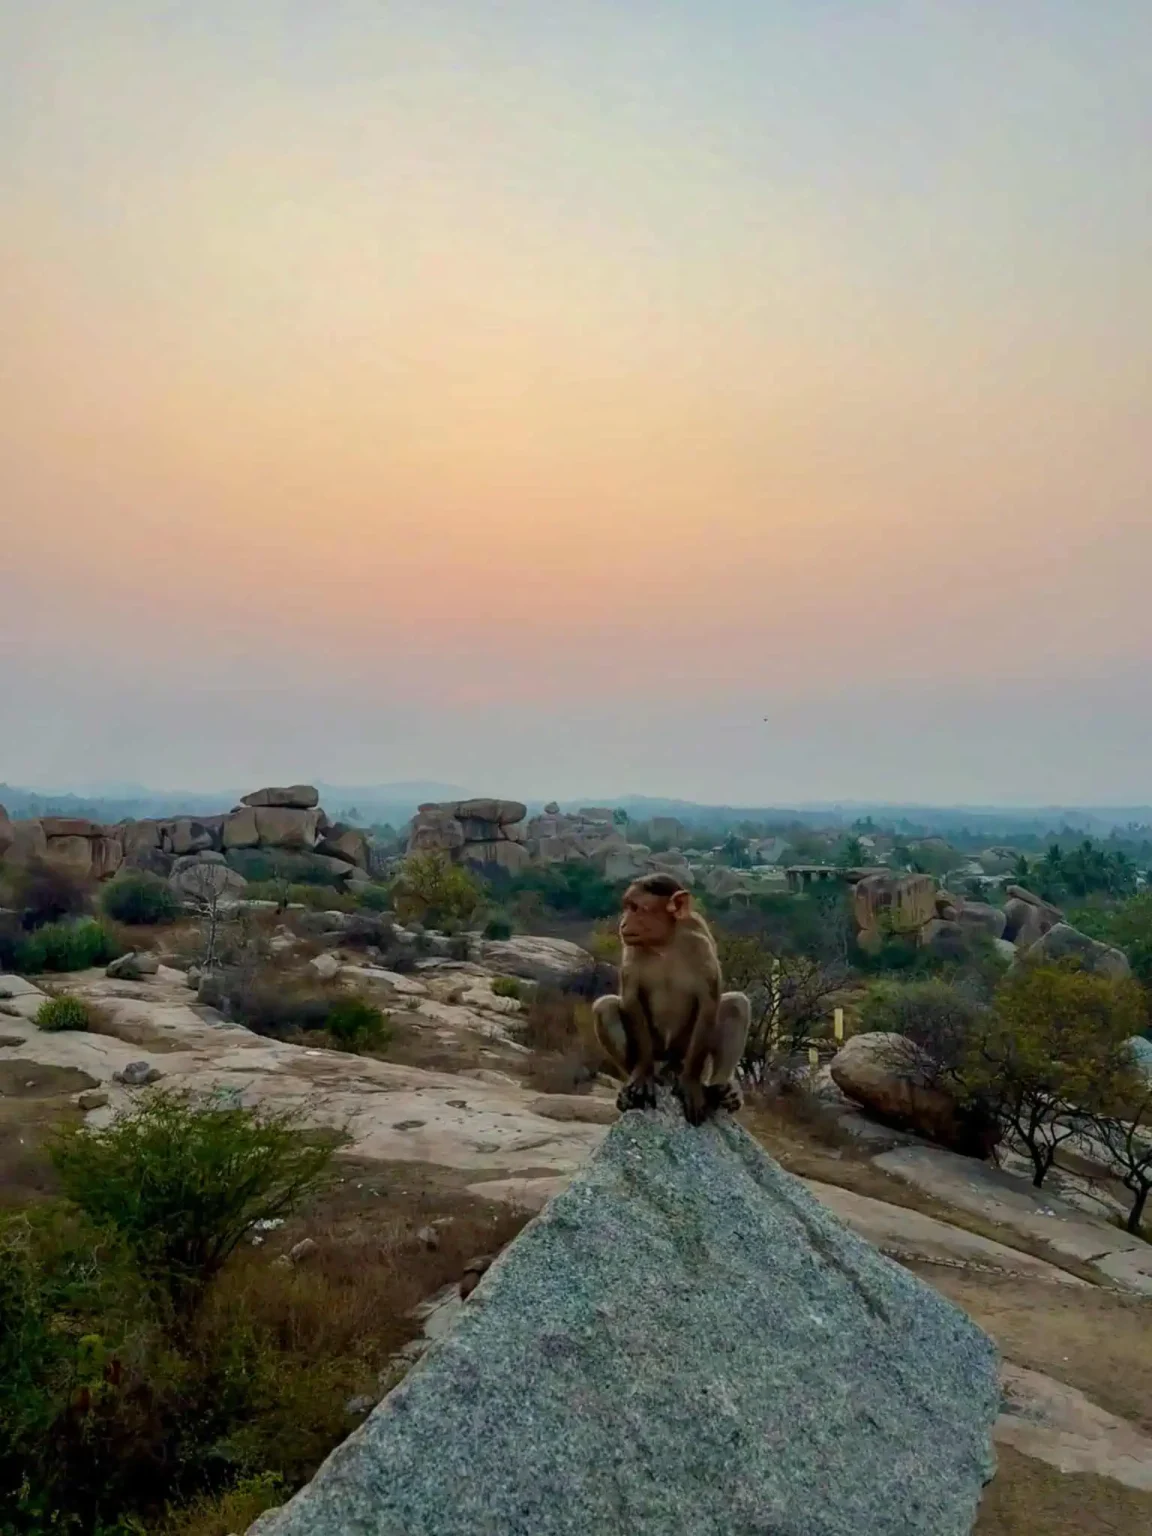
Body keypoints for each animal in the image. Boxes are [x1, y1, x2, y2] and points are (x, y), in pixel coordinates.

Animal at [592, 873, 750, 1125]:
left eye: (635, 908)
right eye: (627, 907)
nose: (623, 923)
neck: (665, 941)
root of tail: (668, 1063)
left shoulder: (700, 941)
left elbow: (709, 1002)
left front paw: (691, 1083)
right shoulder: (632, 947)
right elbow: (631, 999)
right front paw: (642, 1074)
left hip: (682, 1050)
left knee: (736, 1004)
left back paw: (720, 1089)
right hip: (658, 1052)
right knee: (605, 1006)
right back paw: (635, 1086)